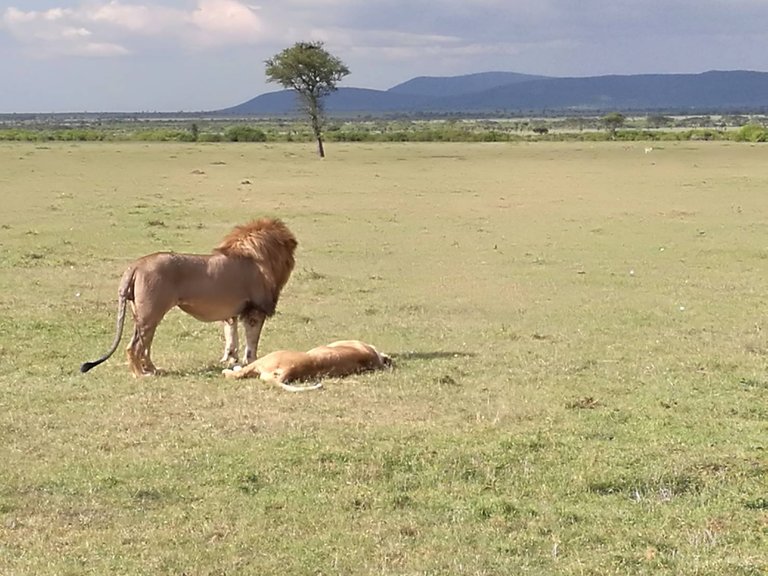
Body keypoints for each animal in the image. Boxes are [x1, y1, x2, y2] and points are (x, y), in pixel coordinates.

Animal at [80, 218, 296, 376]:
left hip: (143, 316)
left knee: (144, 346)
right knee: (133, 347)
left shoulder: (232, 313)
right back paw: (141, 374)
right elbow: (252, 343)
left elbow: (231, 337)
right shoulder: (254, 311)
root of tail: (136, 265)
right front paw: (251, 362)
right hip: (150, 314)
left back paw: (153, 369)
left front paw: (229, 359)